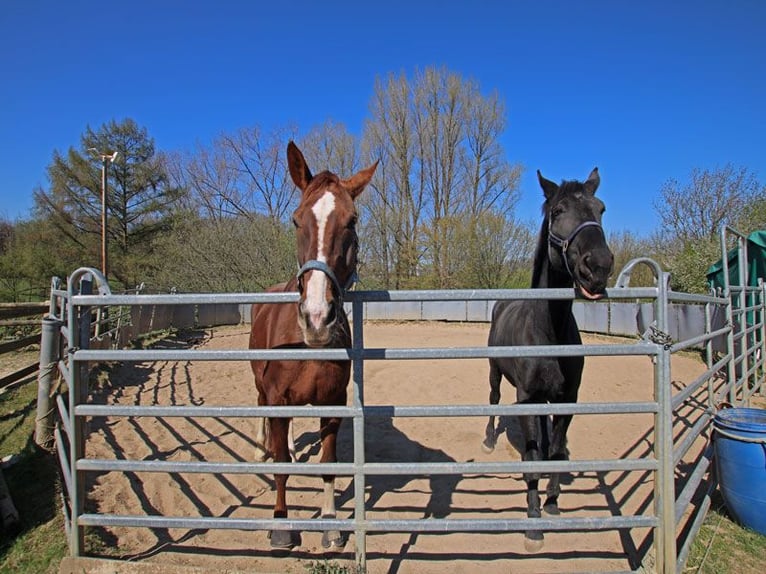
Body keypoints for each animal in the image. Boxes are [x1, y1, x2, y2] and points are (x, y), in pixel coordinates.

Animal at [249, 141, 377, 550]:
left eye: (352, 221)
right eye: (295, 220)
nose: (317, 317)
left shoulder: (332, 403)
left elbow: (328, 465)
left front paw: (331, 525)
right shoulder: (276, 399)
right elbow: (280, 465)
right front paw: (280, 524)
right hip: (261, 388)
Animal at [482, 167, 614, 552]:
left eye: (601, 209)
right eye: (557, 211)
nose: (598, 267)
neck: (548, 331)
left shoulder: (567, 399)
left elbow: (553, 450)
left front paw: (553, 503)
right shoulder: (526, 398)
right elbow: (532, 459)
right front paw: (534, 522)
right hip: (496, 375)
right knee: (493, 399)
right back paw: (490, 440)